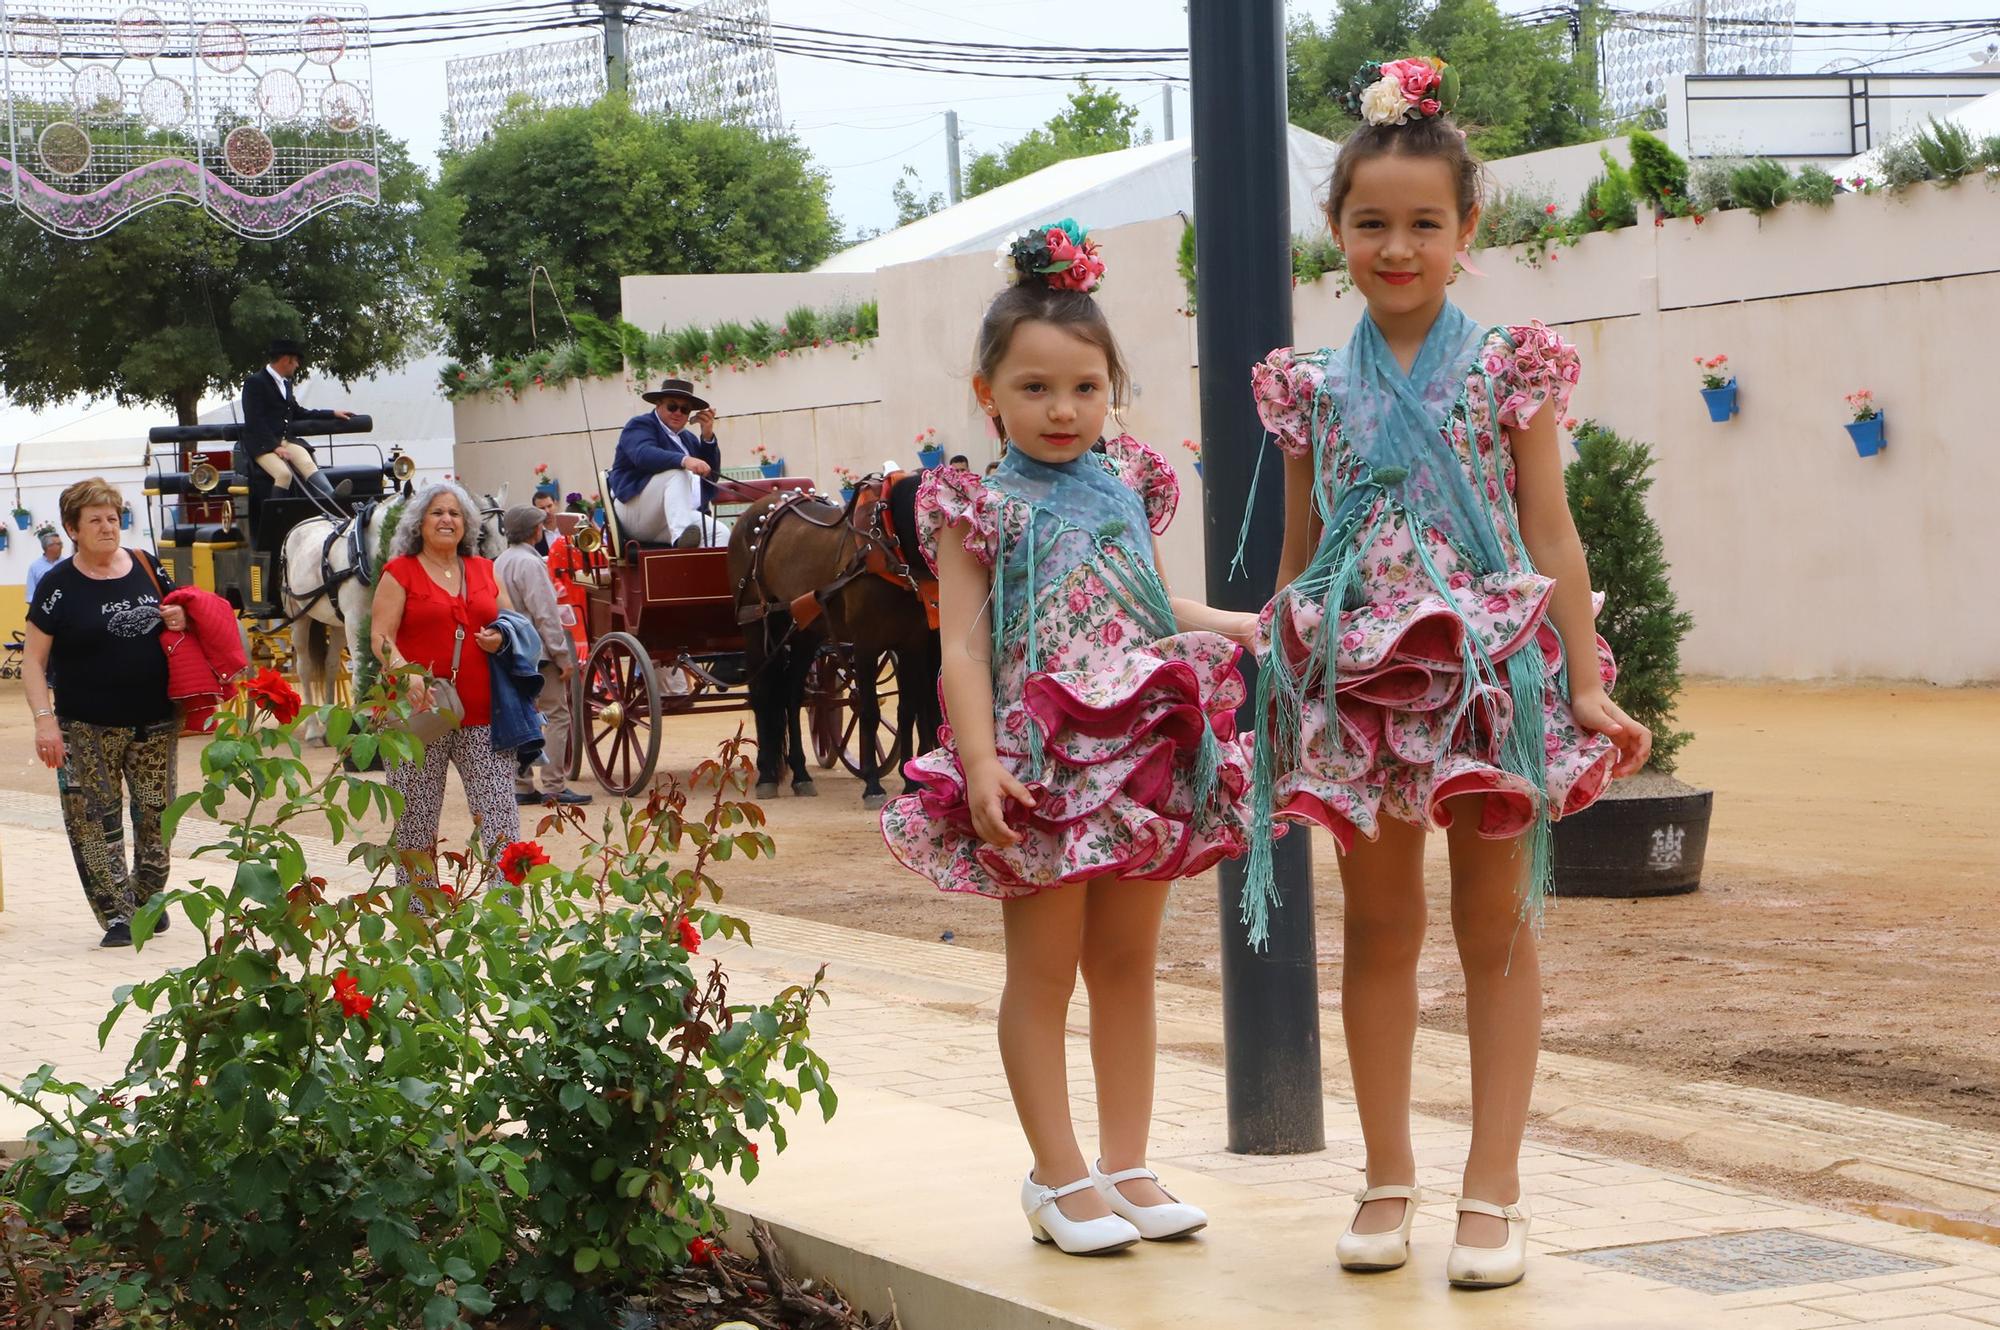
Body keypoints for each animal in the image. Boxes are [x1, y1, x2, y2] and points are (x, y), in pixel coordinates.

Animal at [284, 486, 508, 740]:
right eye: (481, 535)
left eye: (504, 533)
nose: (496, 576)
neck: (364, 551)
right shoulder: (356, 620)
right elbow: (361, 671)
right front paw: (361, 719)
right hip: (299, 615)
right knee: (305, 668)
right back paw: (313, 729)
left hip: (337, 623)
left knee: (331, 665)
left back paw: (330, 718)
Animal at [732, 478, 940, 808]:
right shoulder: (866, 644)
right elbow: (869, 711)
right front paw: (873, 785)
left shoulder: (913, 646)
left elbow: (907, 710)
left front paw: (910, 782)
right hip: (754, 624)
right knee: (764, 696)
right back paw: (766, 776)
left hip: (805, 631)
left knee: (791, 696)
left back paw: (801, 774)